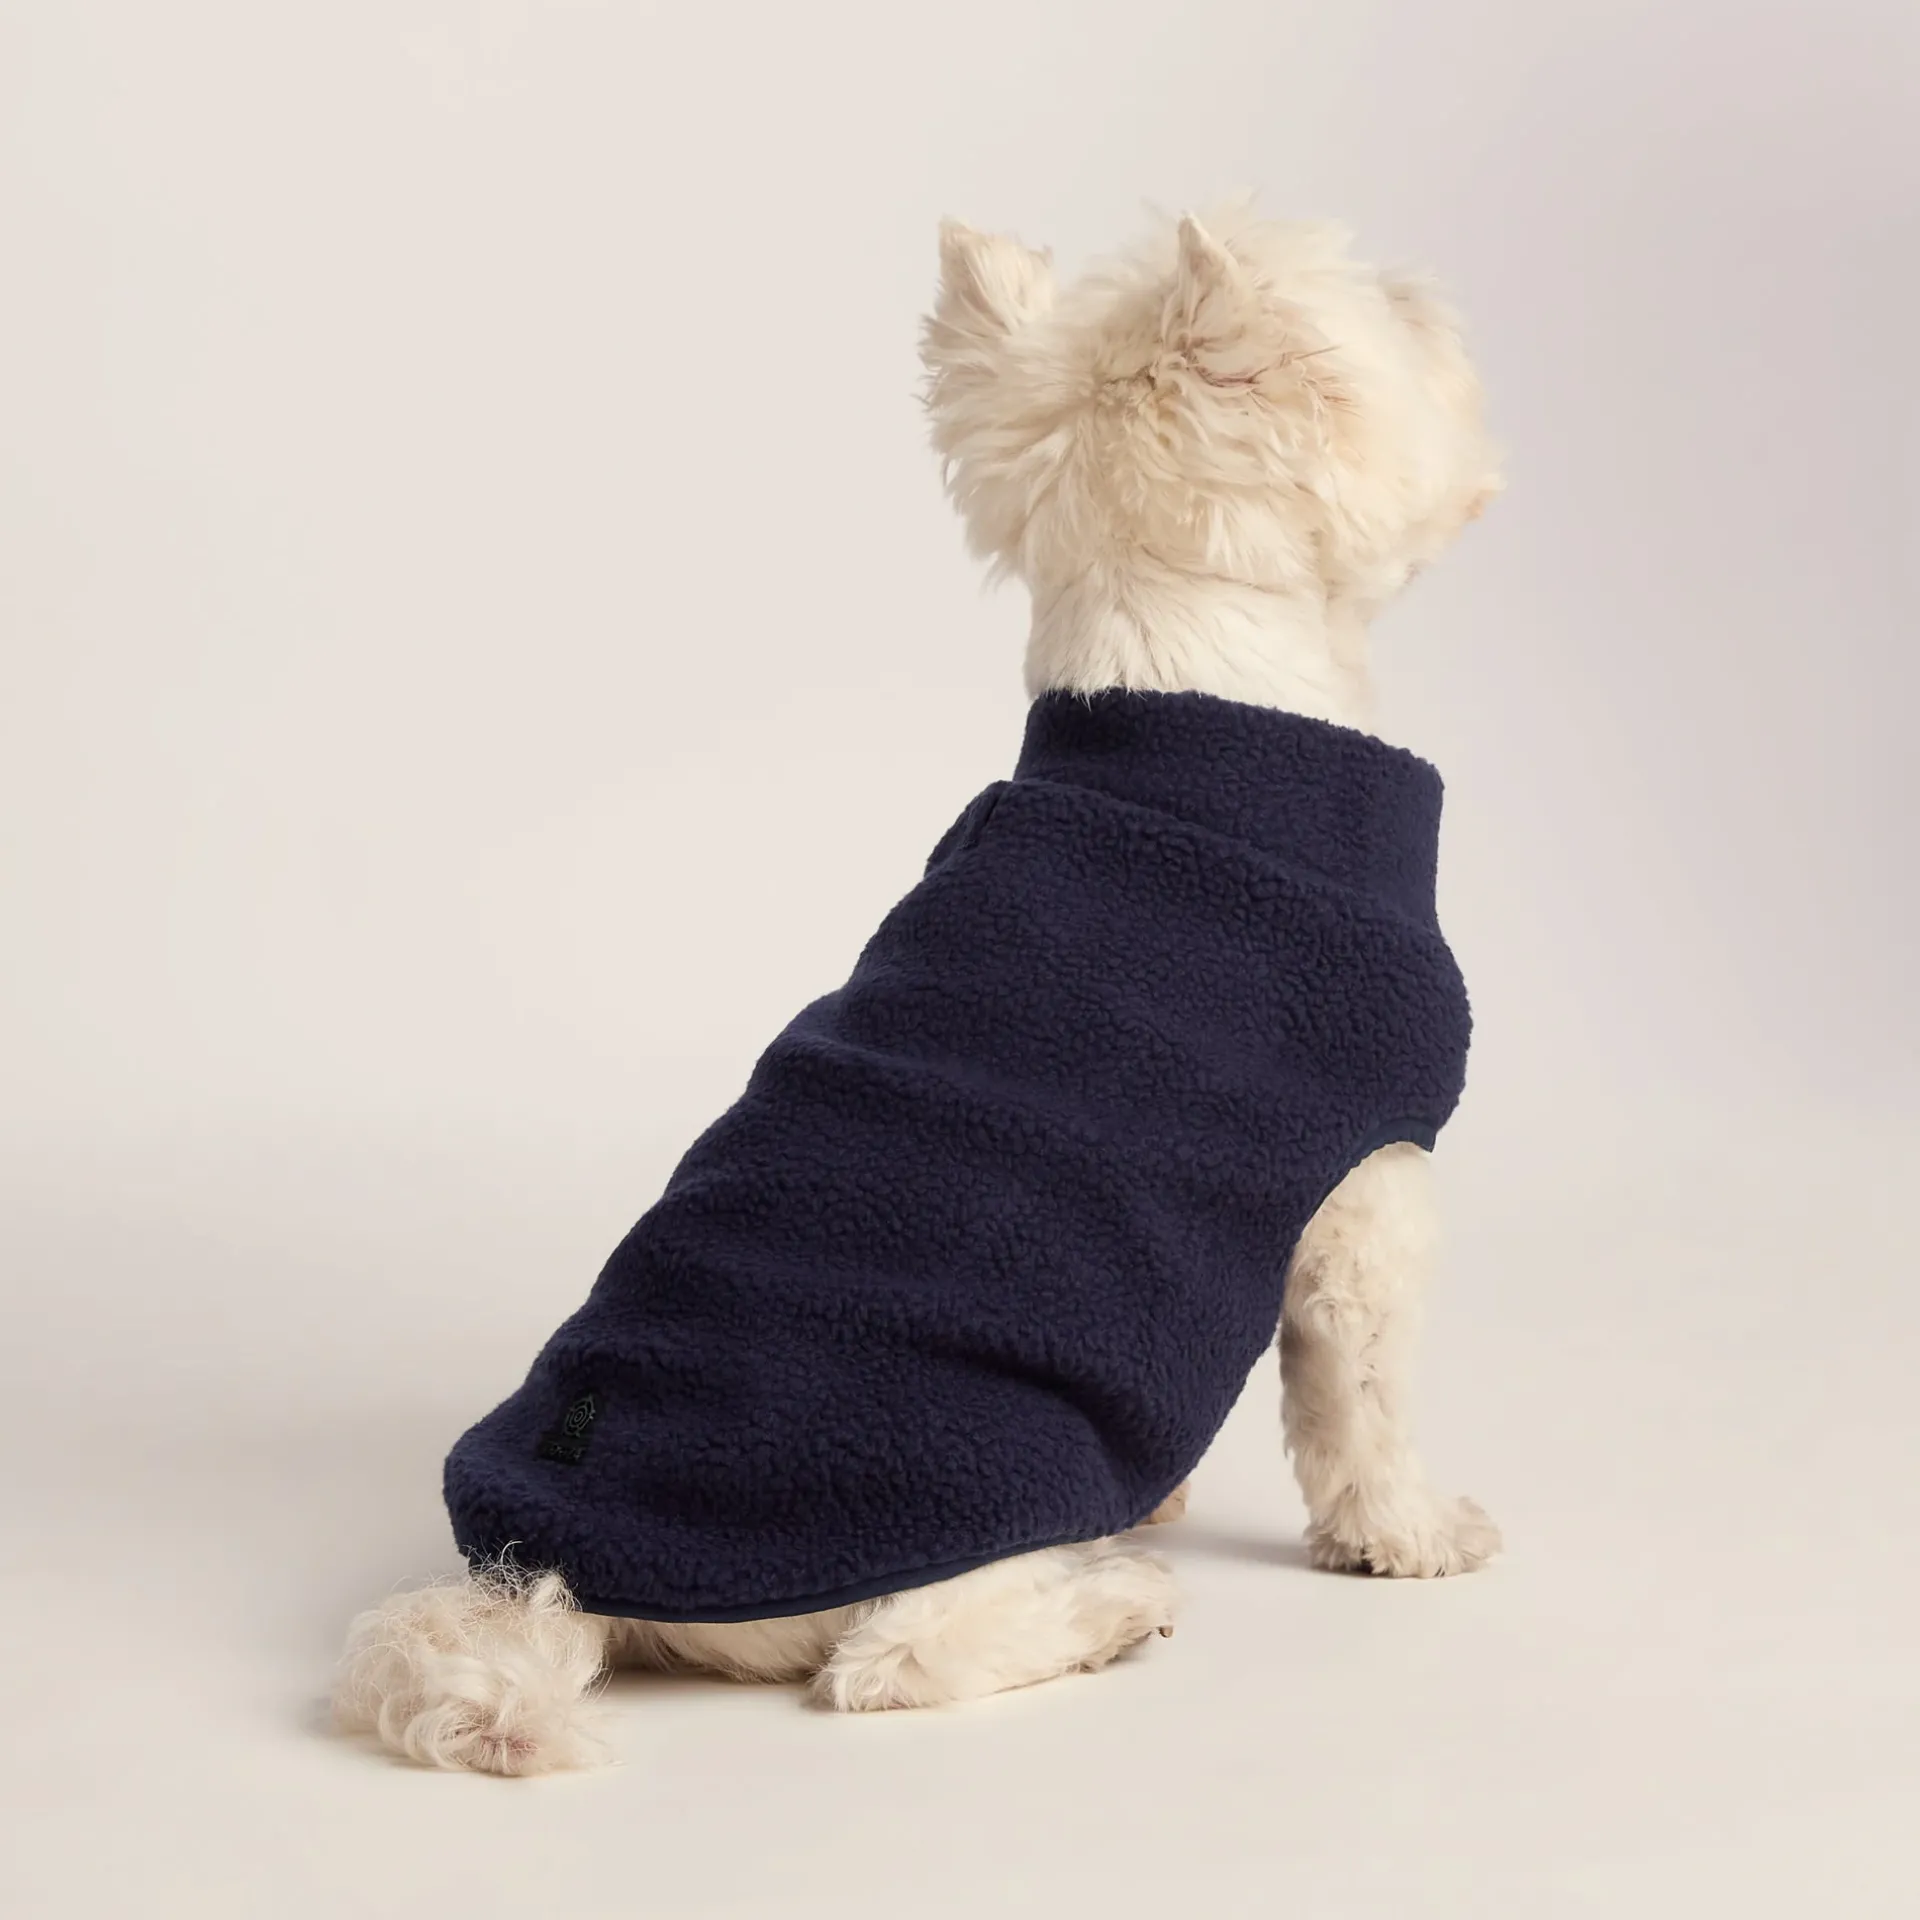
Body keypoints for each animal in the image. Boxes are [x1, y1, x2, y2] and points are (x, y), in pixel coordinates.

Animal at [334, 205, 1504, 1775]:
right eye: (1394, 313)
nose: (1436, 286)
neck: (1198, 709)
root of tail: (562, 1580)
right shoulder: (1367, 1185)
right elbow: (1359, 1409)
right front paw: (1413, 1534)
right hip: (979, 1459)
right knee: (895, 1661)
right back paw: (1111, 1602)